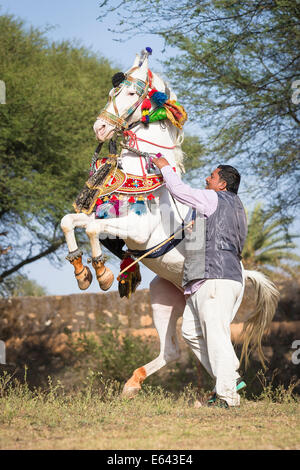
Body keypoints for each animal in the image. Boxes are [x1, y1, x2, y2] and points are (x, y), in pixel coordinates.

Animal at [60, 50, 278, 396]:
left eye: (131, 94)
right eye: (112, 92)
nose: (100, 127)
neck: (144, 174)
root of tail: (246, 275)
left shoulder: (137, 231)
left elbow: (91, 229)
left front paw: (103, 274)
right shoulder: (105, 219)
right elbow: (70, 221)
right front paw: (82, 273)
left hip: (219, 305)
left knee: (216, 346)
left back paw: (228, 389)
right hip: (165, 299)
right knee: (174, 349)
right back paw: (134, 384)